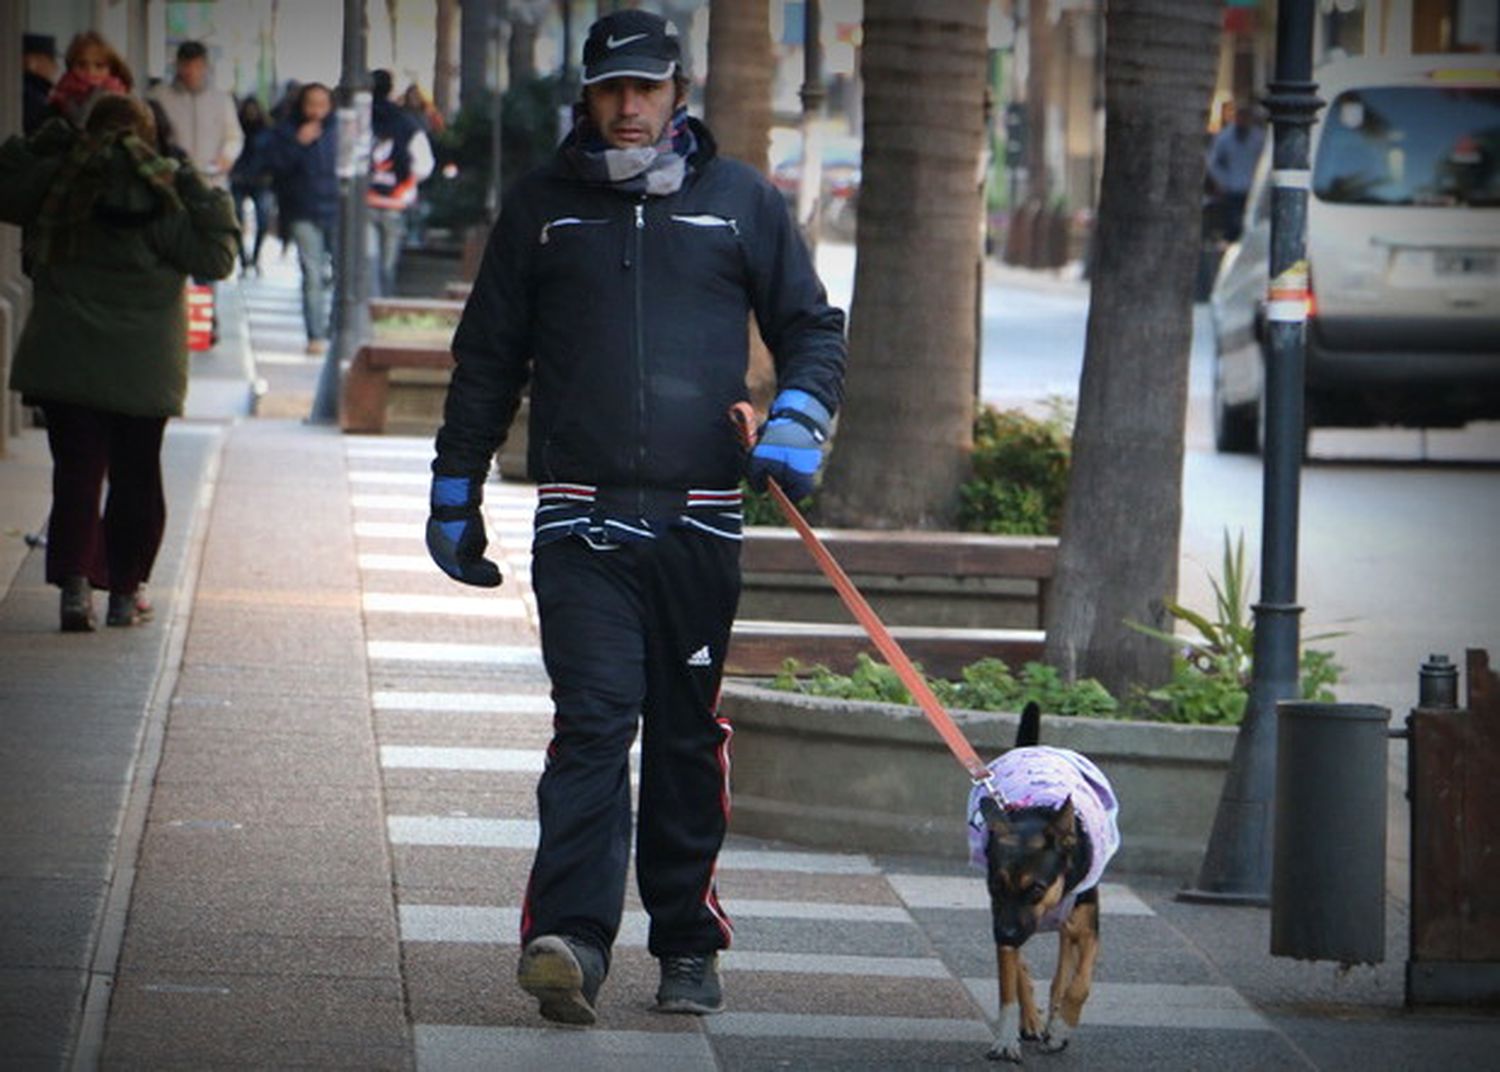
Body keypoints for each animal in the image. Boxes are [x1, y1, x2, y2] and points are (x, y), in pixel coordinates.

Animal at [966, 701, 1122, 1061]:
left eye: (1036, 888)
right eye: (994, 886)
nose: (1005, 934)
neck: (1034, 814)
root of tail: (1033, 748)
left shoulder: (1088, 928)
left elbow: (1079, 984)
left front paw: (1062, 1027)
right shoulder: (1004, 919)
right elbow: (1008, 986)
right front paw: (1006, 1038)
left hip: (1069, 923)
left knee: (1063, 966)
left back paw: (1053, 1019)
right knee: (1026, 969)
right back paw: (1032, 1021)